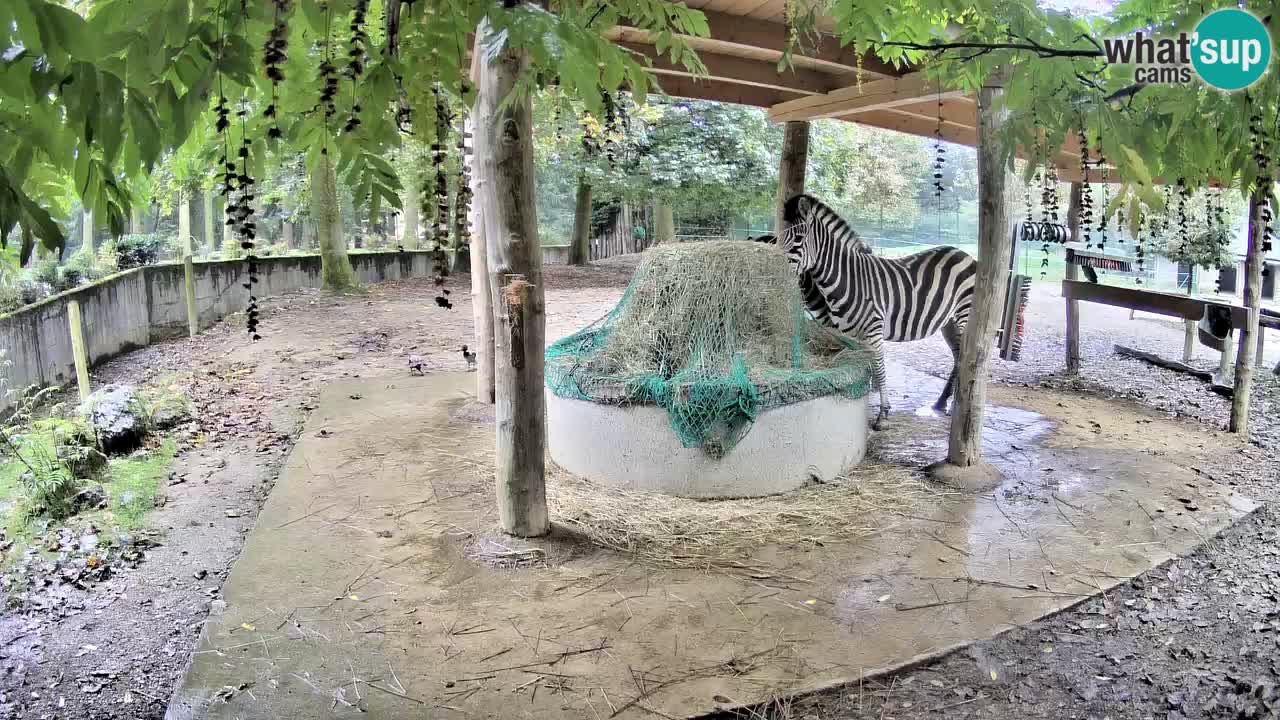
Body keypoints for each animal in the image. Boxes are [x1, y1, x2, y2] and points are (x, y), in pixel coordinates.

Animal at [752, 192, 972, 425]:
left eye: (798, 239)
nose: (772, 272)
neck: (847, 280)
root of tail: (963, 253)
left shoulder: (873, 329)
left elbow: (879, 366)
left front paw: (883, 413)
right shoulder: (848, 333)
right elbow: (864, 364)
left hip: (965, 316)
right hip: (948, 322)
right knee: (959, 357)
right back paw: (943, 403)